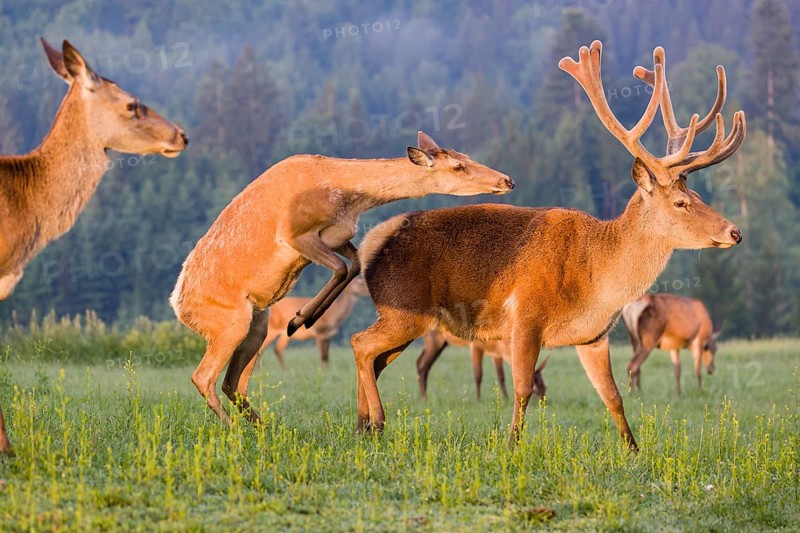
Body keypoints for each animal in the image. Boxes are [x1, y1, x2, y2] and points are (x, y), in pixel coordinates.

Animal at [169, 131, 514, 425]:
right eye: (458, 166)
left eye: (466, 155)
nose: (507, 180)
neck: (348, 197)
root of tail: (178, 306)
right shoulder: (296, 235)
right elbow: (340, 267)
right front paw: (300, 319)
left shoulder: (339, 236)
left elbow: (354, 264)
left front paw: (303, 317)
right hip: (229, 322)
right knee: (203, 377)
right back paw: (232, 429)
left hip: (256, 324)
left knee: (232, 384)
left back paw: (262, 428)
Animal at [416, 329, 549, 402]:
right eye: (536, 387)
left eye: (545, 386)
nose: (543, 400)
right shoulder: (475, 345)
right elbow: (478, 374)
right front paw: (478, 399)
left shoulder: (496, 354)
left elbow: (501, 376)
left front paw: (506, 398)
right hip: (433, 338)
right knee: (422, 364)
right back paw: (423, 398)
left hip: (442, 342)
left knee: (422, 363)